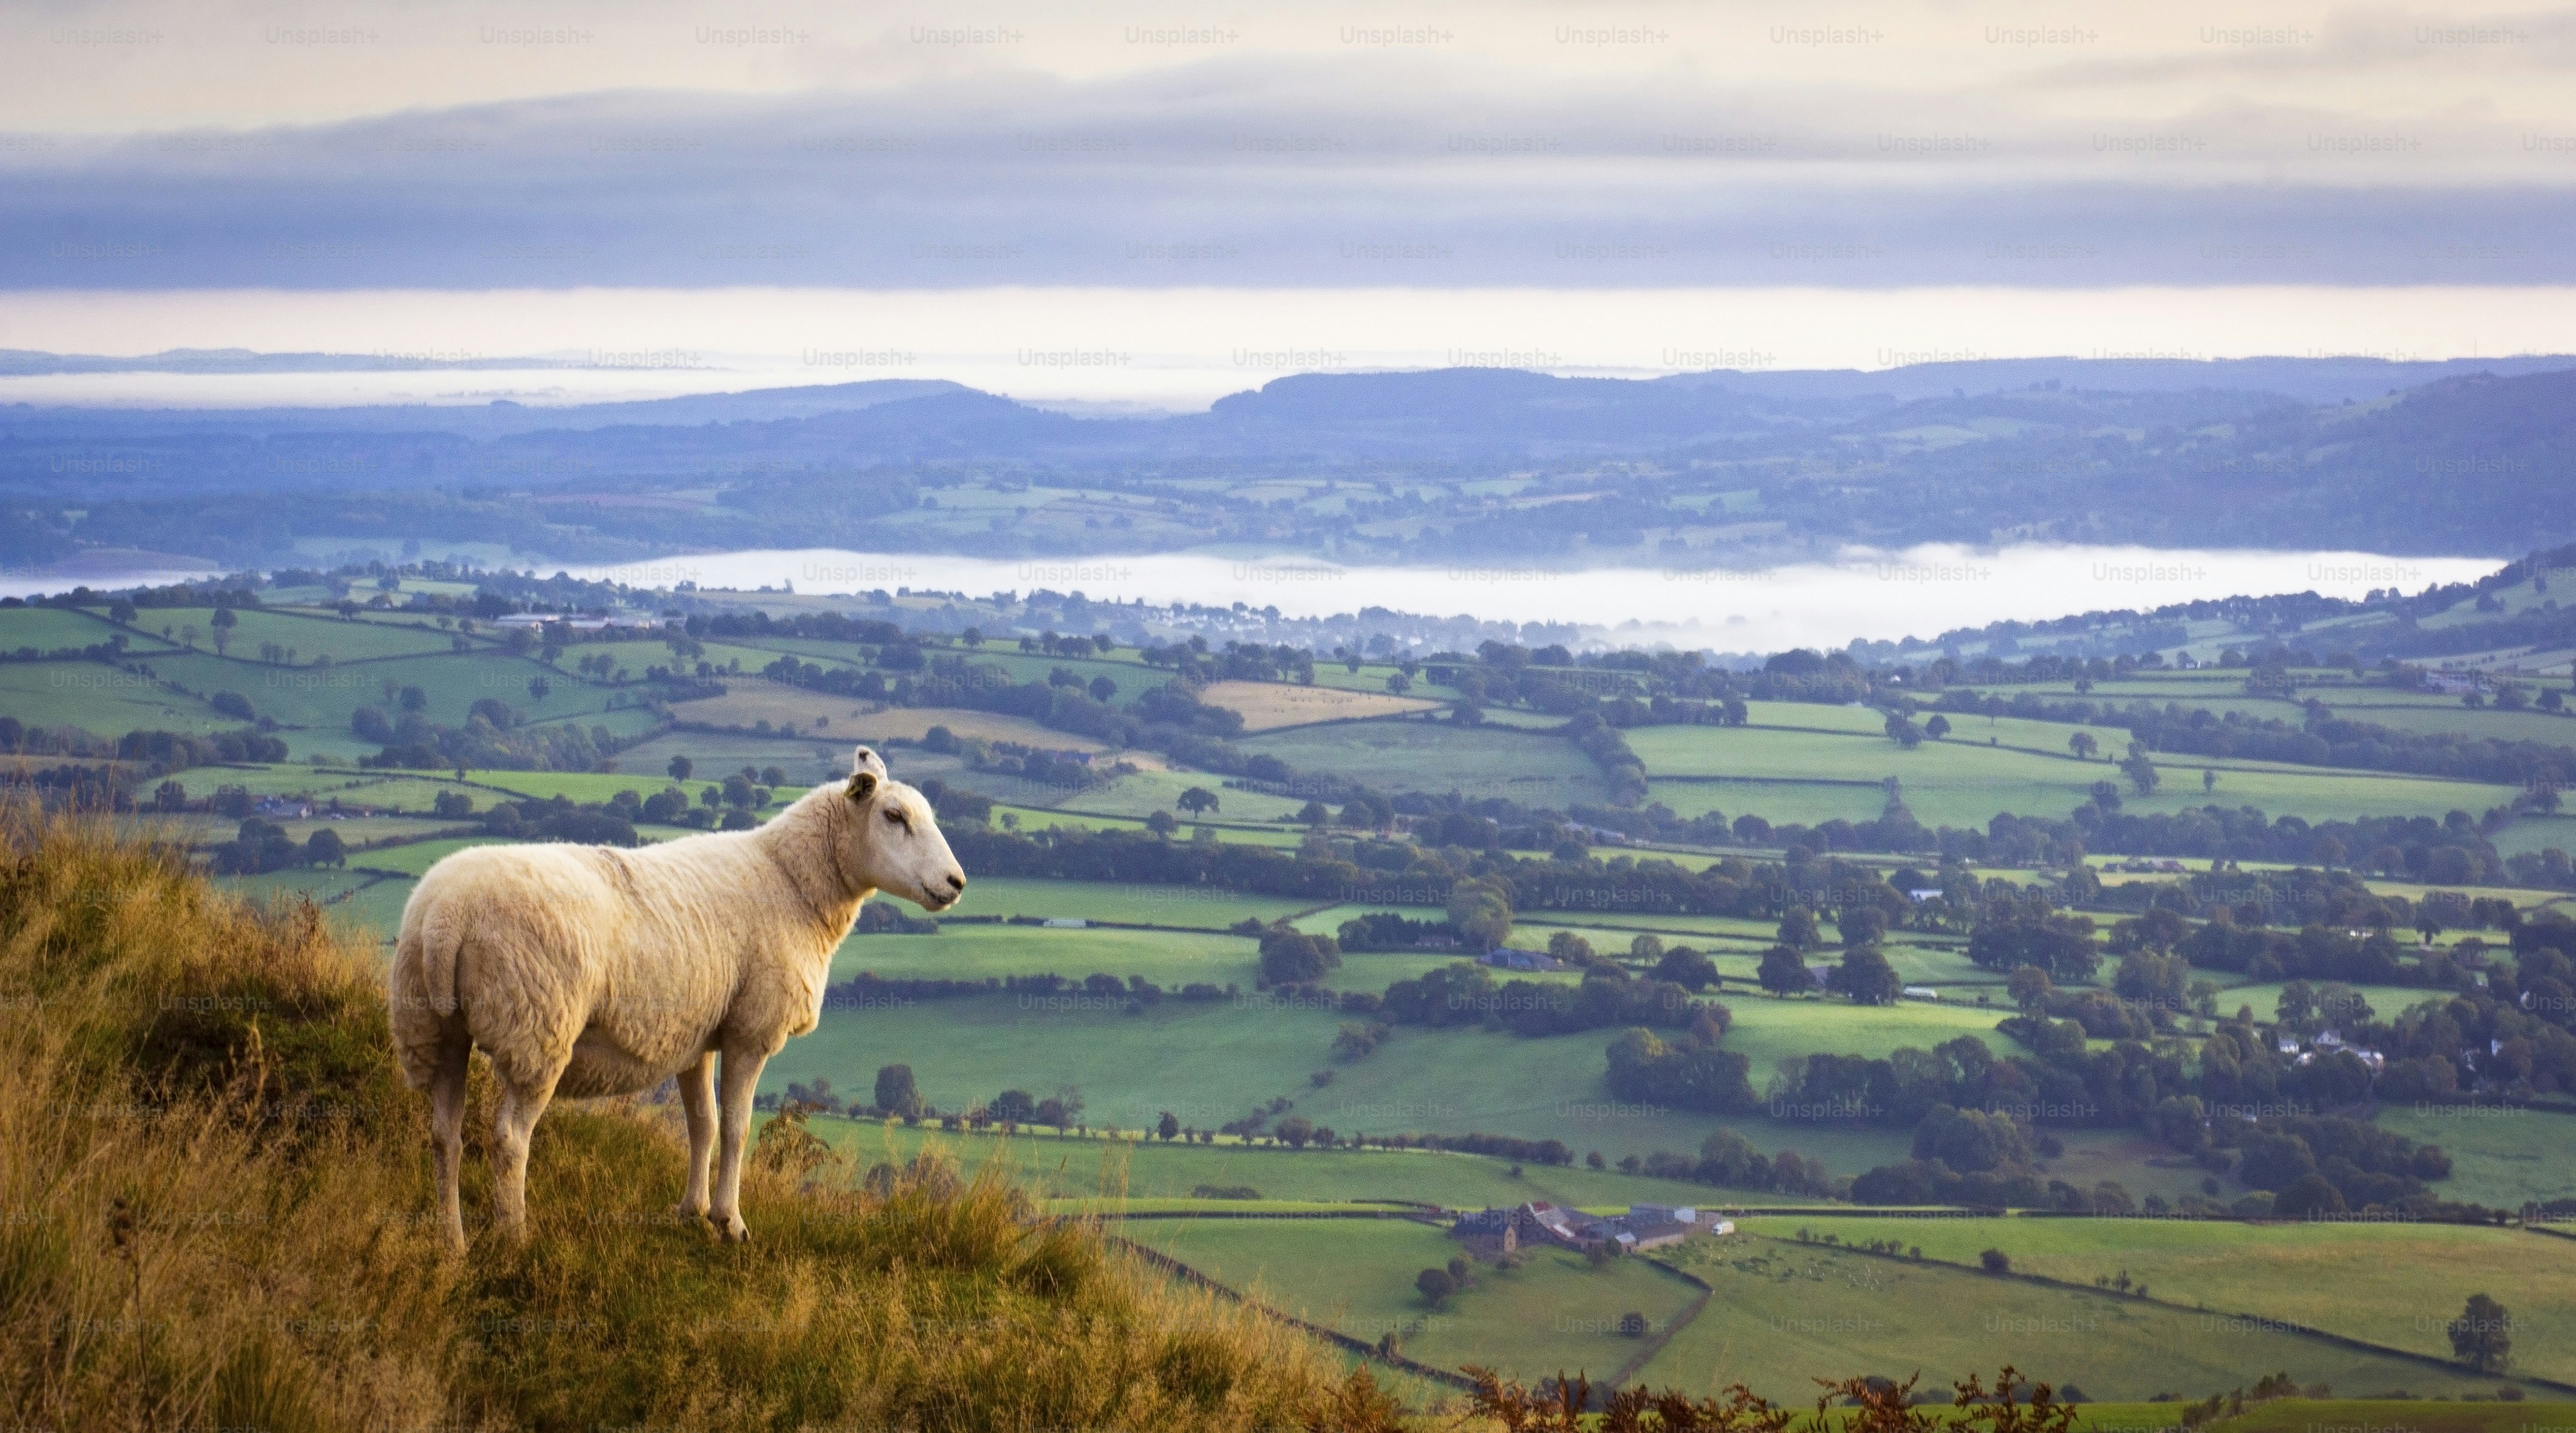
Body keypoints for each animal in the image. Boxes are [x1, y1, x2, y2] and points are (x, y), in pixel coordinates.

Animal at [388, 746, 965, 1251]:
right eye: (893, 816)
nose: (956, 882)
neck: (793, 881)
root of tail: (445, 918)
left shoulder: (697, 1034)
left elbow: (701, 1124)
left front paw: (692, 1211)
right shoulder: (750, 1030)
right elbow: (735, 1127)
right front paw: (730, 1222)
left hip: (434, 1030)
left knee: (444, 1134)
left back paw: (452, 1243)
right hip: (536, 1027)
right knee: (509, 1138)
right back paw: (515, 1239)